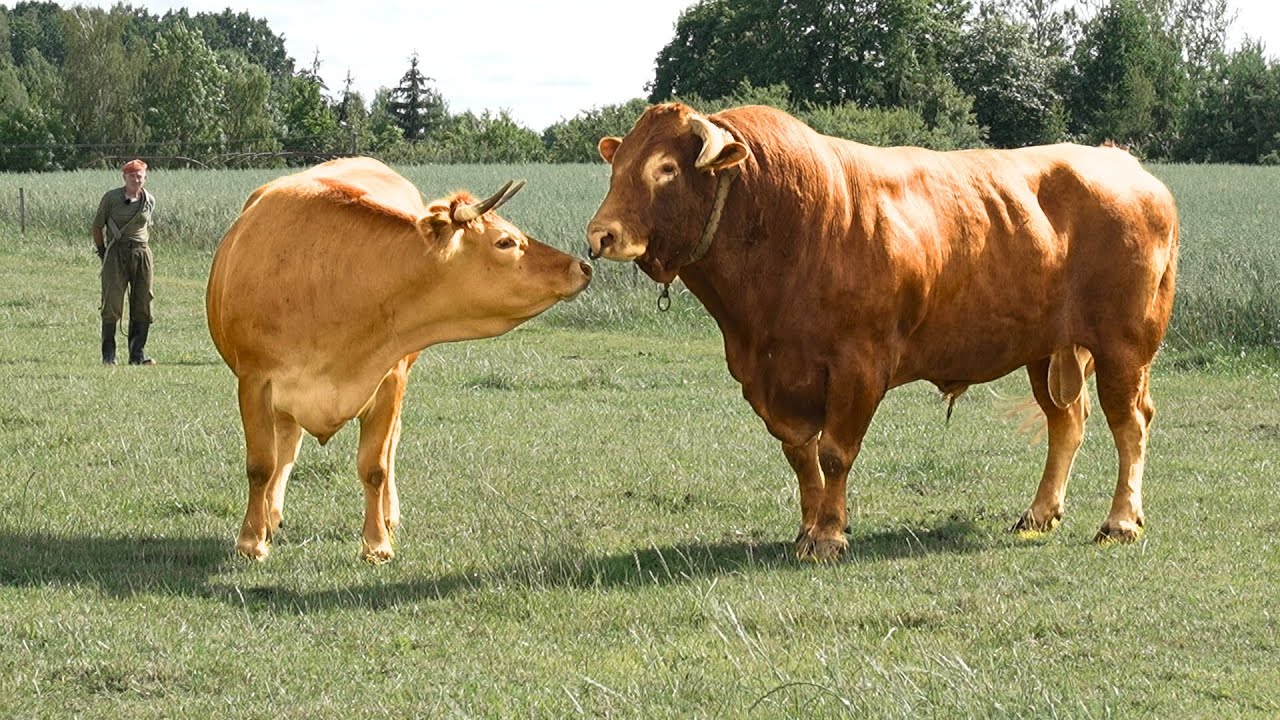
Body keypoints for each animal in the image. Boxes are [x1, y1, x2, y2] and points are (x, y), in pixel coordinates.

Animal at [207, 157, 592, 562]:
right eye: (505, 241)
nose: (582, 266)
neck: (324, 282)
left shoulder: (389, 380)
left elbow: (374, 466)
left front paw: (376, 543)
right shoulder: (254, 381)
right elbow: (261, 464)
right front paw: (251, 539)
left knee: (388, 446)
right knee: (286, 445)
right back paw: (271, 513)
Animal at [587, 103, 1178, 560]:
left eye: (665, 167)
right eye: (618, 166)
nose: (599, 235)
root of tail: (1123, 164)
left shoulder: (858, 365)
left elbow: (834, 453)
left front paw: (828, 535)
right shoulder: (769, 377)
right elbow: (801, 456)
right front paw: (807, 529)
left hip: (1125, 345)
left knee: (1130, 424)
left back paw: (1120, 521)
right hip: (1045, 348)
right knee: (1066, 422)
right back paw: (1038, 513)